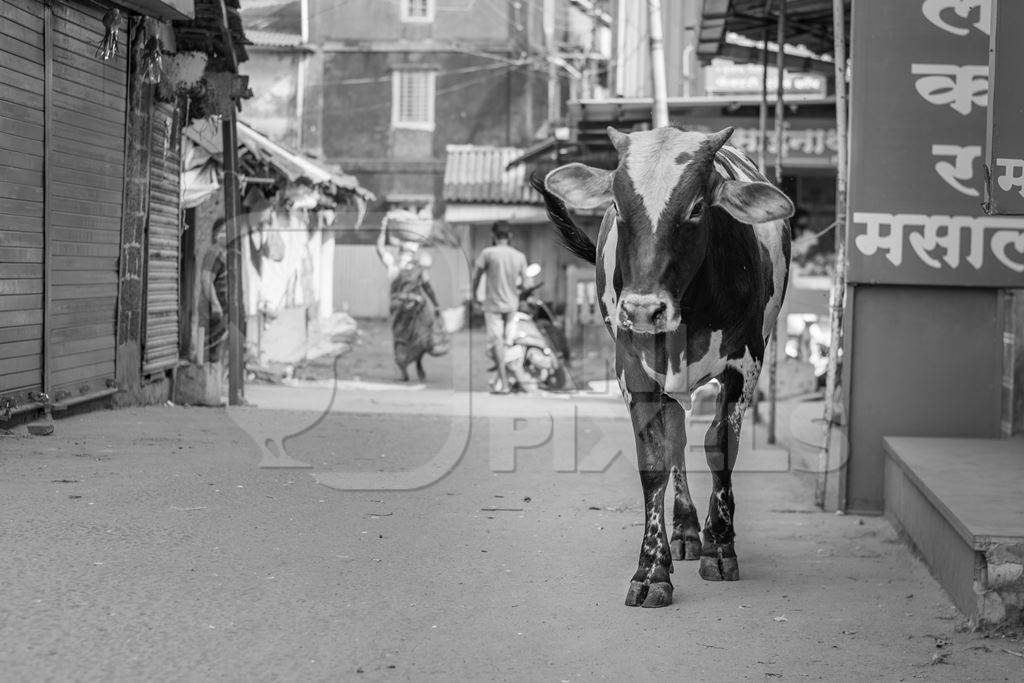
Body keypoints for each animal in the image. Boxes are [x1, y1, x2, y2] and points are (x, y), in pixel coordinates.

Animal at [532, 126, 794, 610]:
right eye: (618, 206)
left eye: (696, 208)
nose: (643, 309)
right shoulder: (633, 372)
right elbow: (655, 459)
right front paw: (652, 570)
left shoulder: (745, 363)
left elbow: (720, 447)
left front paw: (721, 546)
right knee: (676, 439)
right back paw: (686, 530)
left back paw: (706, 533)